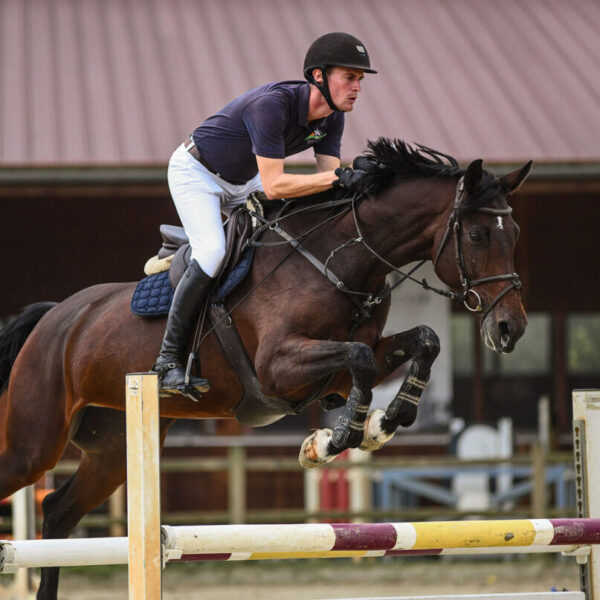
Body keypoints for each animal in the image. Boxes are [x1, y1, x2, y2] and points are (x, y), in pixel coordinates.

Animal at [0, 138, 528, 596]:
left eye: (516, 235)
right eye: (477, 235)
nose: (511, 329)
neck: (342, 260)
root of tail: (53, 316)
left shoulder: (342, 370)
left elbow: (423, 341)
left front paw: (383, 423)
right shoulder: (279, 366)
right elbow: (359, 361)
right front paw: (336, 439)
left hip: (111, 450)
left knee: (58, 511)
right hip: (33, 442)